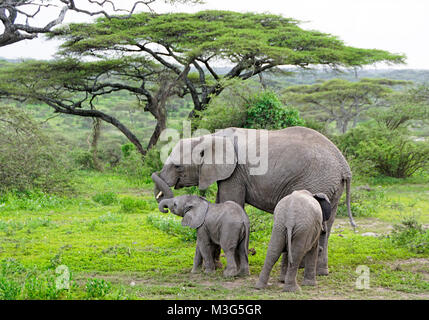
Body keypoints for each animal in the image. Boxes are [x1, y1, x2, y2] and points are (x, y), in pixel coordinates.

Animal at [152, 126, 352, 274]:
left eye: (178, 166)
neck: (208, 138)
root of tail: (344, 166)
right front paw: (216, 266)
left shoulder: (235, 172)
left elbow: (230, 201)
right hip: (330, 187)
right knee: (327, 223)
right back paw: (319, 271)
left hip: (317, 180)